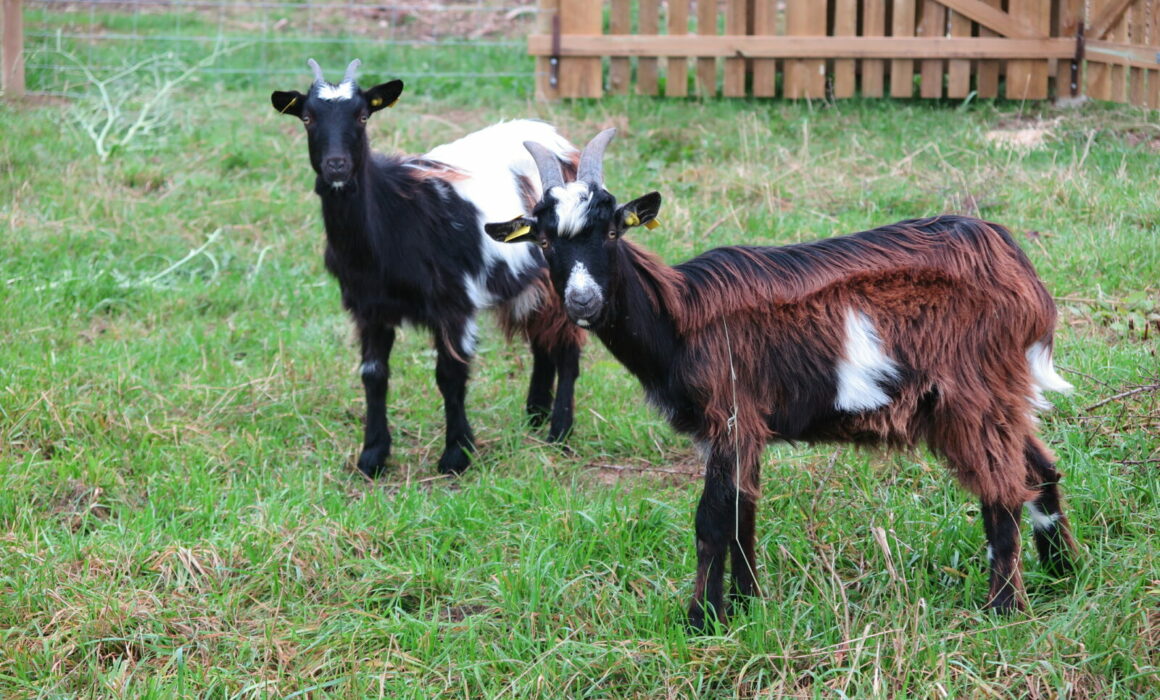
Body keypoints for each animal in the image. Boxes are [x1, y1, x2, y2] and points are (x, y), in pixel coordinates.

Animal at [270, 59, 584, 477]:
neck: (395, 219)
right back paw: (534, 414)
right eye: (307, 117)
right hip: (528, 279)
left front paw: (456, 454)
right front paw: (373, 455)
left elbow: (449, 376)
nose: (336, 165)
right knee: (541, 338)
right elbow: (373, 375)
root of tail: (556, 139)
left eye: (363, 116)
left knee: (566, 344)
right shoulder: (368, 307)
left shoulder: (454, 304)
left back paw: (559, 431)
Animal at [486, 128, 1078, 630]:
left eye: (612, 230)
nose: (583, 301)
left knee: (1002, 488)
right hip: (1001, 393)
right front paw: (747, 605)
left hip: (971, 394)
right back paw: (1063, 574)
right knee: (1040, 468)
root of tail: (1020, 271)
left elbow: (712, 519)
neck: (681, 318)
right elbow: (743, 513)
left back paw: (1002, 608)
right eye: (543, 241)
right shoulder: (735, 430)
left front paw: (702, 620)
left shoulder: (732, 414)